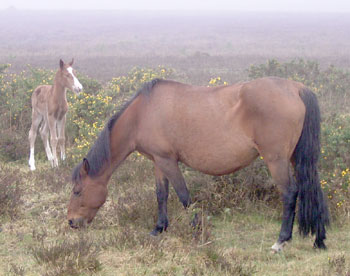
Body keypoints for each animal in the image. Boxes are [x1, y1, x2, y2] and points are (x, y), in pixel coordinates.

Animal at [67, 76, 330, 251]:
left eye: (77, 191)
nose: (71, 222)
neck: (142, 114)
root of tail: (296, 88)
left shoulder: (168, 161)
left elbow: (184, 196)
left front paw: (196, 231)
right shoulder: (157, 162)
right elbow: (161, 195)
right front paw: (159, 228)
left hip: (276, 160)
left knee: (290, 193)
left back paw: (281, 240)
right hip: (296, 158)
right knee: (312, 189)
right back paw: (319, 239)